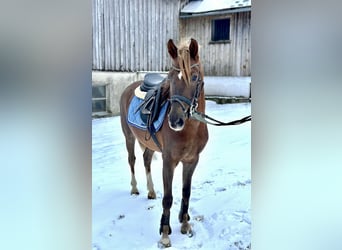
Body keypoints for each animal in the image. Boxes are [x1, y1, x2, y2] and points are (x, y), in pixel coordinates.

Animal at [119, 38, 208, 247]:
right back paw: (135, 188)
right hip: (129, 137)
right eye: (170, 78)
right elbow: (168, 198)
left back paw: (151, 191)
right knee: (132, 160)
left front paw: (185, 224)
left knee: (146, 159)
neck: (190, 129)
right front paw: (165, 234)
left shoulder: (191, 161)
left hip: (151, 146)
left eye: (194, 77)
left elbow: (186, 193)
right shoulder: (169, 162)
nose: (175, 121)